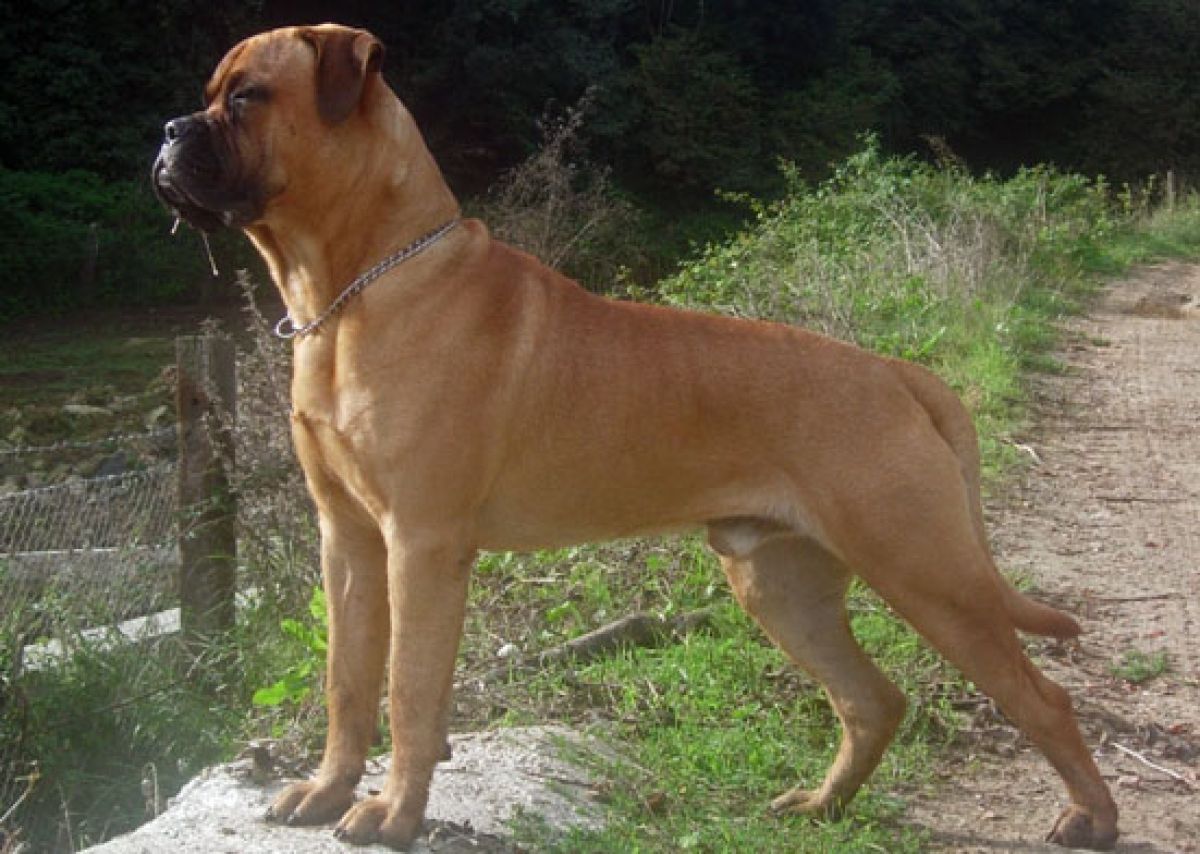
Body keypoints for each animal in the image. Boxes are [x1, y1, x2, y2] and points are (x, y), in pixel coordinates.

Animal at [153, 23, 1119, 850]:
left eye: (246, 97)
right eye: (210, 95)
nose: (167, 131)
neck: (354, 291)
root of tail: (894, 371)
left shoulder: (419, 545)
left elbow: (408, 691)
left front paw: (393, 813)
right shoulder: (348, 540)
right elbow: (347, 683)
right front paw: (325, 792)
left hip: (927, 570)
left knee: (1042, 698)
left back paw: (1092, 819)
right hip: (780, 583)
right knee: (873, 700)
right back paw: (821, 804)